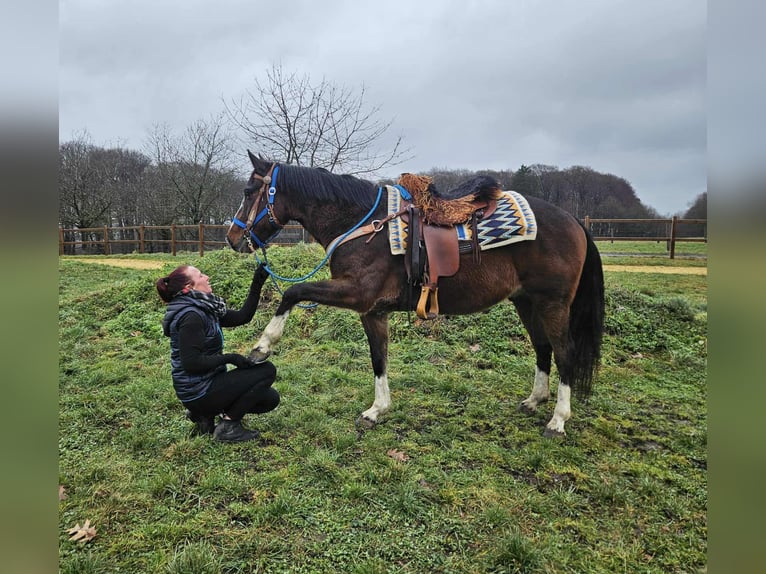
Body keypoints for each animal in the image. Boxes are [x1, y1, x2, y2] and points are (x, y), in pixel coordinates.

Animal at [226, 151, 604, 437]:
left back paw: (557, 420)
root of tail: (572, 219)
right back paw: (534, 400)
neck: (363, 225)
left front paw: (262, 346)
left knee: (564, 353)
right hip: (527, 302)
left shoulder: (356, 293)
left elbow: (293, 291)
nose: (232, 238)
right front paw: (377, 410)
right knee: (543, 348)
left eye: (248, 191)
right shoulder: (373, 311)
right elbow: (378, 359)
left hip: (553, 303)